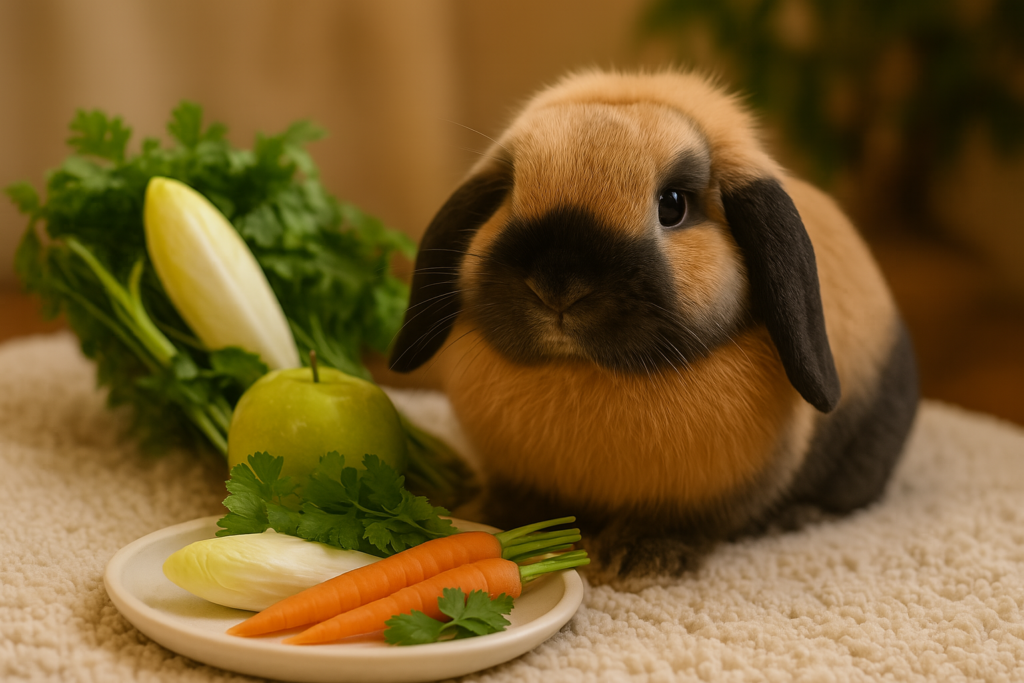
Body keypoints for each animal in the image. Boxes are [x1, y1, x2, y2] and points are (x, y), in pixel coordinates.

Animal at [387, 70, 919, 578]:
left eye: (673, 205)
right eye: (510, 194)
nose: (557, 285)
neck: (583, 370)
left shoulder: (706, 495)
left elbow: (683, 522)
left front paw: (637, 557)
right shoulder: (518, 475)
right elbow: (516, 501)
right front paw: (479, 514)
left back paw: (795, 517)